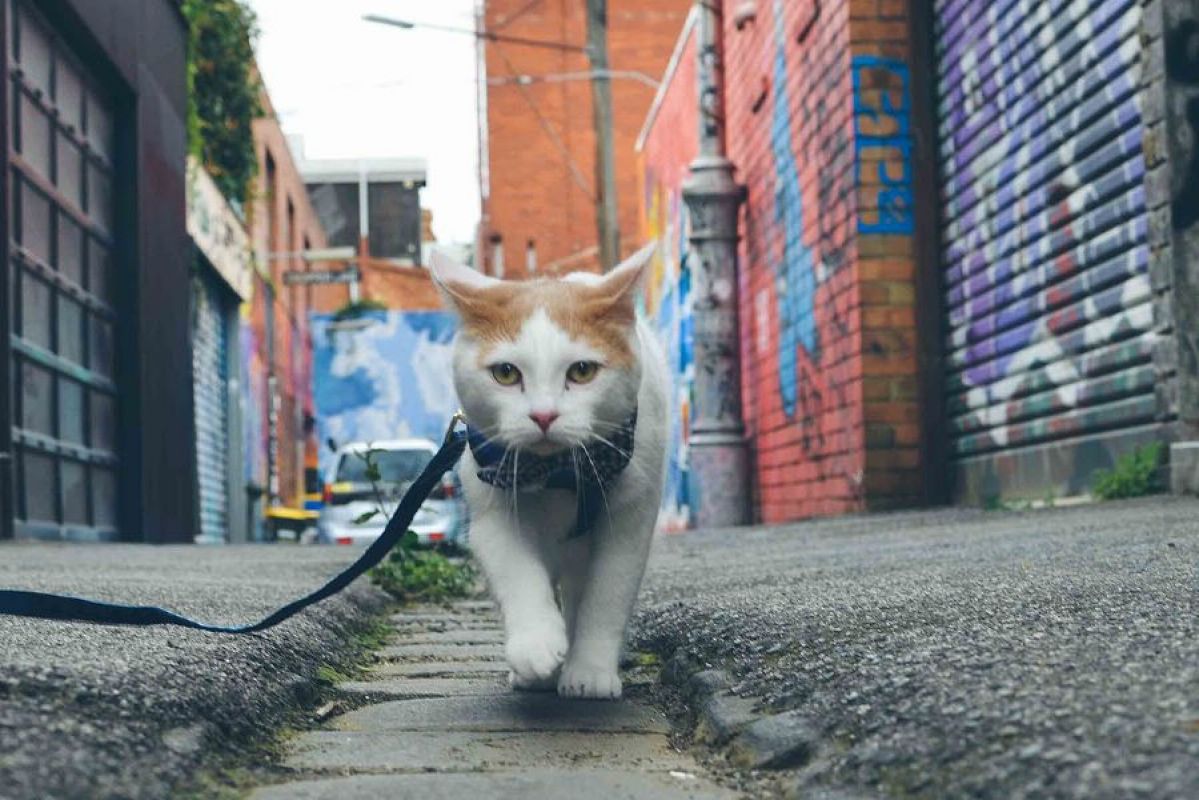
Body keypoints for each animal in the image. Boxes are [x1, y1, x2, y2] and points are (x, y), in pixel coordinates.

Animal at [431, 245, 671, 700]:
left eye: (582, 371)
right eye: (506, 373)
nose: (543, 415)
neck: (557, 472)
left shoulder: (631, 516)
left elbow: (607, 594)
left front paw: (590, 670)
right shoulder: (491, 504)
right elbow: (517, 570)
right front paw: (536, 647)